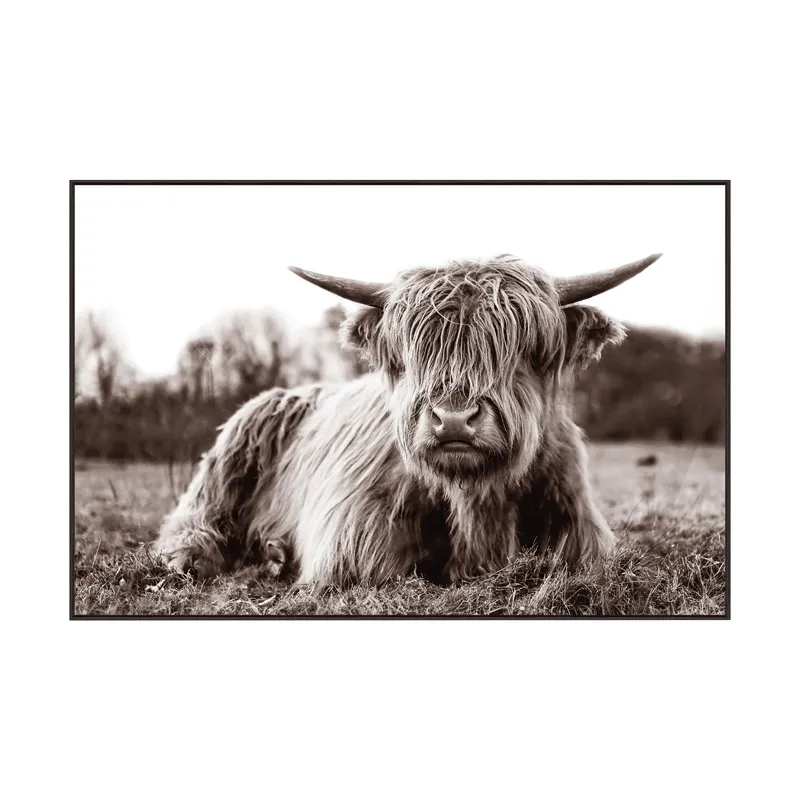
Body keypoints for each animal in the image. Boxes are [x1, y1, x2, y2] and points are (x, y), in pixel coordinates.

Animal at [154, 252, 661, 586]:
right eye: (416, 352)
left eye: (522, 351)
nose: (453, 420)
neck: (476, 501)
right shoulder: (355, 537)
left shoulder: (581, 533)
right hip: (232, 451)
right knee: (196, 514)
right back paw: (195, 559)